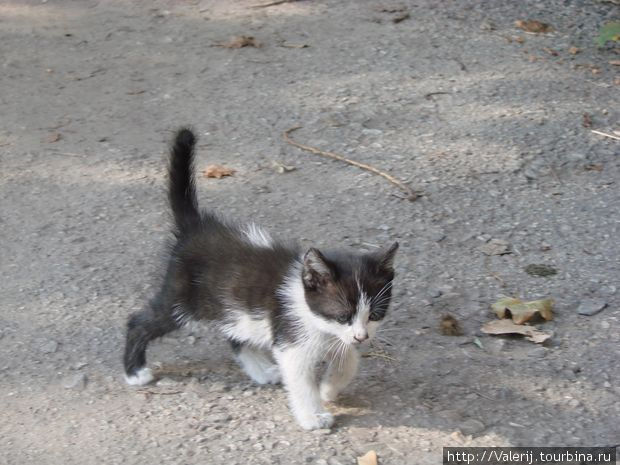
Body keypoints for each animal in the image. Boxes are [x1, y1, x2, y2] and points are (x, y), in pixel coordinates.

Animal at [123, 129, 400, 430]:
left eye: (375, 315)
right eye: (342, 315)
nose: (363, 337)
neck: (316, 320)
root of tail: (195, 227)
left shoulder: (336, 338)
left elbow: (348, 360)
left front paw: (328, 388)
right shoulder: (292, 341)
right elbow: (302, 381)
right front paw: (313, 415)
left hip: (231, 305)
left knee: (234, 335)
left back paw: (260, 370)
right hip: (183, 299)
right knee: (139, 321)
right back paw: (134, 371)